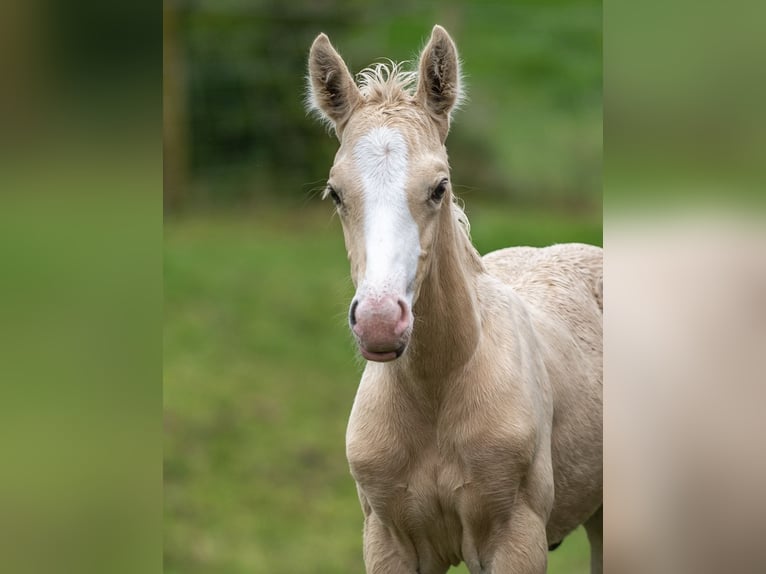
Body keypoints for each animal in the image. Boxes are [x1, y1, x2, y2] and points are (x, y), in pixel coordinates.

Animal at [308, 24, 604, 572]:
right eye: (336, 194)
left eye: (439, 188)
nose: (380, 321)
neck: (437, 388)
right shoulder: (388, 541)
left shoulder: (516, 539)